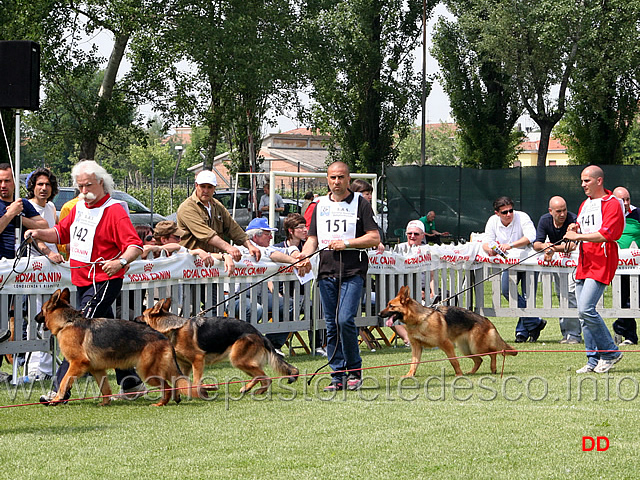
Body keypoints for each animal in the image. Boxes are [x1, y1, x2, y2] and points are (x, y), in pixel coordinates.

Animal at [35, 288, 190, 404]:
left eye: (42, 309)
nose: (35, 318)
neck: (67, 322)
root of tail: (163, 337)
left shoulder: (77, 363)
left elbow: (64, 381)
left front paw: (56, 399)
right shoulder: (97, 369)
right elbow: (105, 389)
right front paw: (105, 403)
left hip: (147, 372)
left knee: (167, 386)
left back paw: (161, 403)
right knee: (175, 382)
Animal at [138, 298, 300, 396]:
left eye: (142, 314)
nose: (133, 318)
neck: (173, 328)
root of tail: (259, 333)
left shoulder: (198, 360)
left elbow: (195, 381)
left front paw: (200, 390)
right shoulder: (185, 365)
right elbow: (183, 381)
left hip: (238, 360)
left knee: (266, 377)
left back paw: (254, 390)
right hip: (244, 362)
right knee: (261, 377)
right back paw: (251, 389)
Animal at [378, 284, 516, 376]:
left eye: (391, 306)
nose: (379, 314)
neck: (419, 320)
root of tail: (486, 320)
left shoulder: (446, 344)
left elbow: (454, 361)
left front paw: (459, 374)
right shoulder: (416, 347)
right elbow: (414, 363)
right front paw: (410, 375)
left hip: (476, 346)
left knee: (493, 352)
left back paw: (493, 368)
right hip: (467, 349)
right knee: (479, 359)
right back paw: (471, 372)